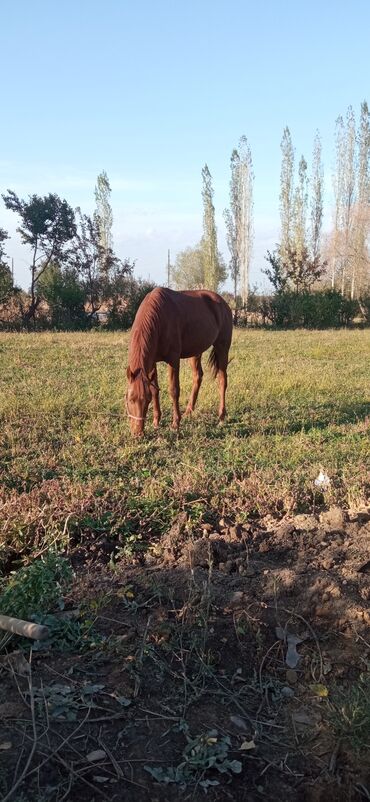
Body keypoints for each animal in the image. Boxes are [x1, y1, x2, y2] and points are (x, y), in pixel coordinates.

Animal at [125, 288, 233, 434]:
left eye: (146, 400)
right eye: (130, 399)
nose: (137, 432)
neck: (159, 318)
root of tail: (223, 303)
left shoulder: (173, 359)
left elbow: (174, 389)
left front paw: (175, 423)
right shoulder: (152, 362)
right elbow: (154, 389)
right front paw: (156, 421)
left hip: (222, 347)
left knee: (222, 380)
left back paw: (221, 417)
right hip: (196, 352)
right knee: (198, 376)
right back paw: (188, 411)